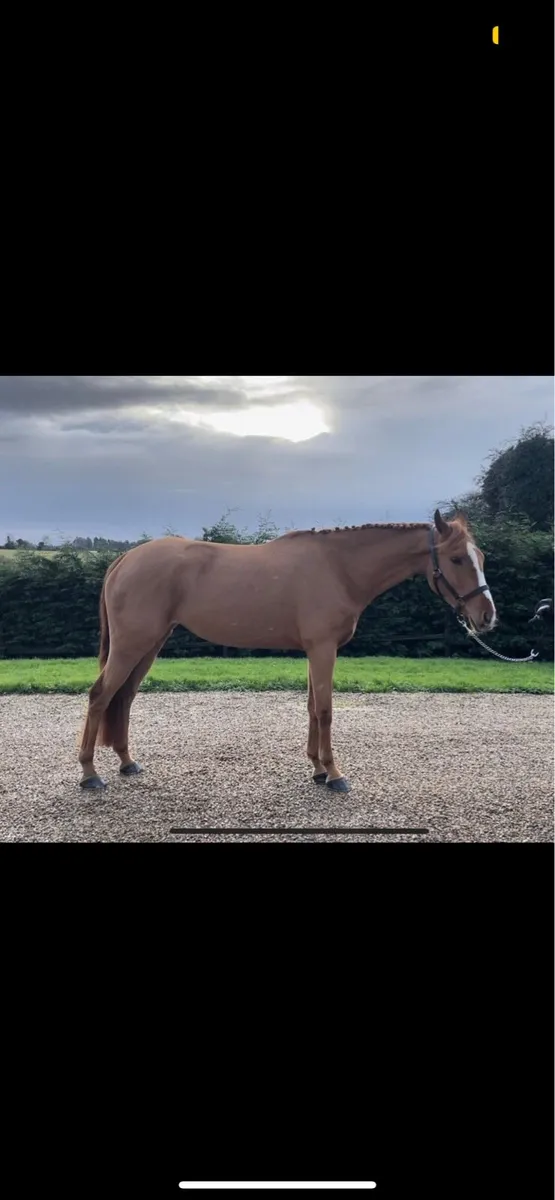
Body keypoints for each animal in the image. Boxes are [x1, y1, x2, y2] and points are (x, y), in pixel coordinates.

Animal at [78, 509, 496, 792]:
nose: (487, 616)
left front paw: (318, 770)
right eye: (457, 559)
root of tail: (126, 559)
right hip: (132, 644)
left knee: (124, 698)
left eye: (481, 559)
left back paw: (127, 762)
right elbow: (325, 710)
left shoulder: (315, 650)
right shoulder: (323, 649)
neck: (339, 568)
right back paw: (90, 774)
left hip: (149, 644)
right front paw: (336, 775)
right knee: (100, 696)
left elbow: (312, 708)